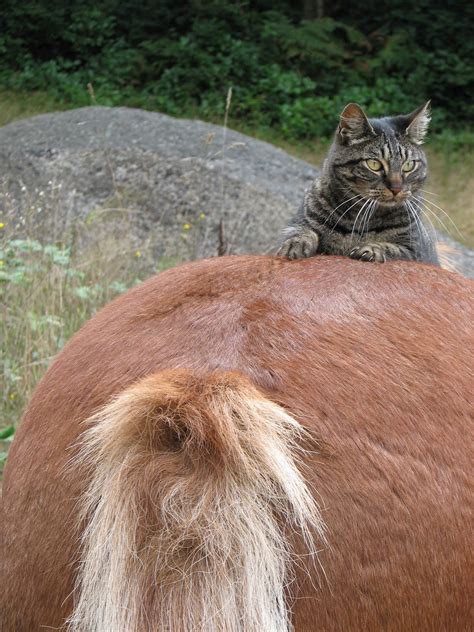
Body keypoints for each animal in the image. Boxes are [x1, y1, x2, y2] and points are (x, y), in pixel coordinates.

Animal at [278, 102, 440, 264]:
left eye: (408, 165)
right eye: (374, 164)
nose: (396, 188)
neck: (357, 219)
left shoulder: (417, 251)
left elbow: (392, 248)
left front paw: (372, 249)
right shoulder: (300, 221)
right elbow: (300, 231)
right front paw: (296, 242)